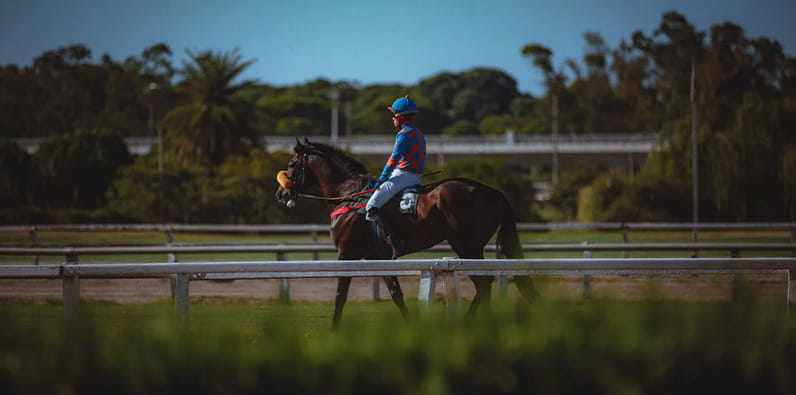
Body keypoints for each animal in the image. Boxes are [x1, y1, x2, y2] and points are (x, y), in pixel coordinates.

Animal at [276, 139, 540, 328]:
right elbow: (395, 293)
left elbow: (341, 292)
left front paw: (334, 328)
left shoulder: (347, 253)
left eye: (292, 164)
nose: (281, 193)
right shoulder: (376, 258)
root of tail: (493, 191)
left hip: (466, 245)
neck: (349, 196)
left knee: (484, 283)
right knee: (484, 283)